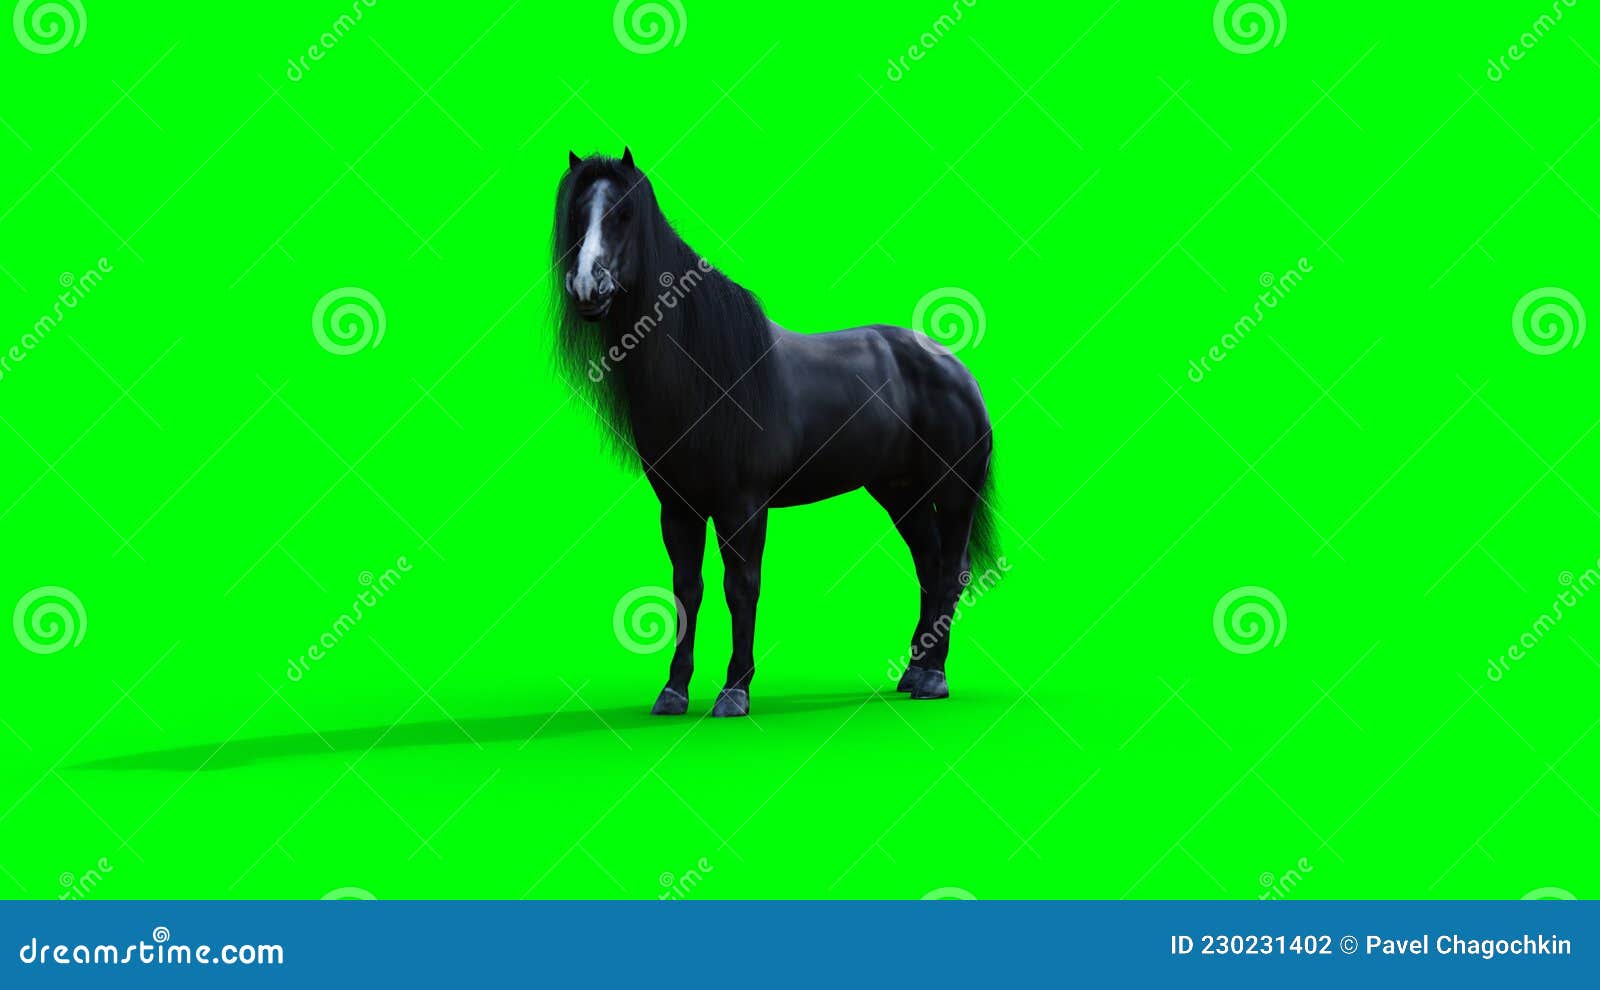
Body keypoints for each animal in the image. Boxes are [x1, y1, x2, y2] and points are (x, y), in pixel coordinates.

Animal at [552, 147, 998, 717]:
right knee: (929, 565)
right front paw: (673, 692)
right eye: (576, 215)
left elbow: (741, 587)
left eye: (625, 214)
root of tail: (955, 368)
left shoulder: (743, 506)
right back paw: (914, 671)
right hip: (902, 495)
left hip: (955, 491)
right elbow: (686, 589)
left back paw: (934, 679)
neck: (707, 376)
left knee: (951, 571)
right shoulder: (678, 508)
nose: (588, 288)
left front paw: (734, 692)